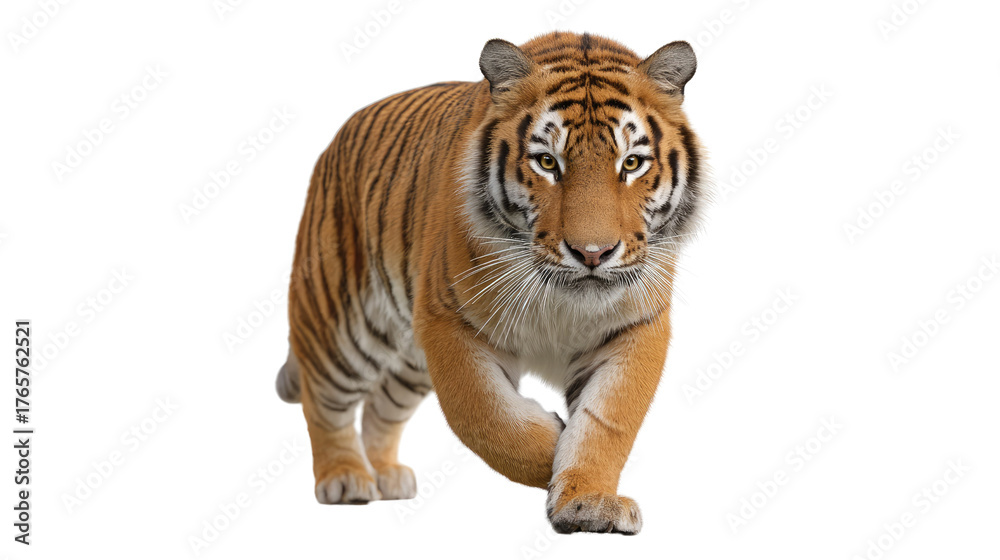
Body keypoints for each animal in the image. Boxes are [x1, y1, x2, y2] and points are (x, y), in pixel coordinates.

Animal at [275, 31, 705, 534]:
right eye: (547, 162)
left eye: (632, 163)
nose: (593, 254)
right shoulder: (449, 320)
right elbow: (487, 418)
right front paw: (553, 442)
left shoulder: (635, 326)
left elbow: (607, 422)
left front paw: (588, 500)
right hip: (342, 324)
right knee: (323, 400)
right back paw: (344, 478)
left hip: (409, 362)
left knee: (382, 406)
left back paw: (387, 476)